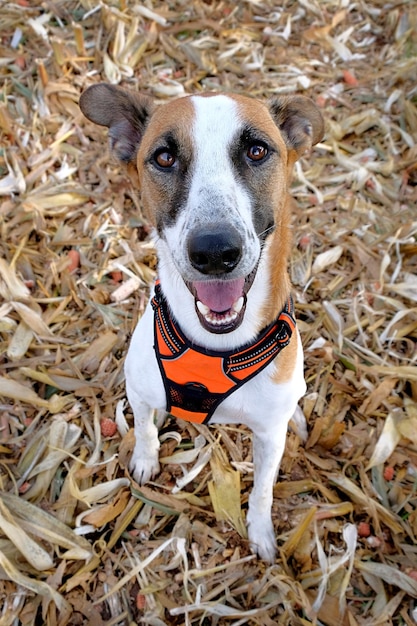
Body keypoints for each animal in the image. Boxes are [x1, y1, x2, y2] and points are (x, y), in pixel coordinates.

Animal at [79, 84, 324, 560]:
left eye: (256, 150)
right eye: (164, 157)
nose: (214, 252)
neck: (215, 346)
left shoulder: (268, 435)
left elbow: (263, 490)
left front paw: (261, 533)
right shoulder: (139, 390)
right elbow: (143, 431)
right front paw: (145, 460)